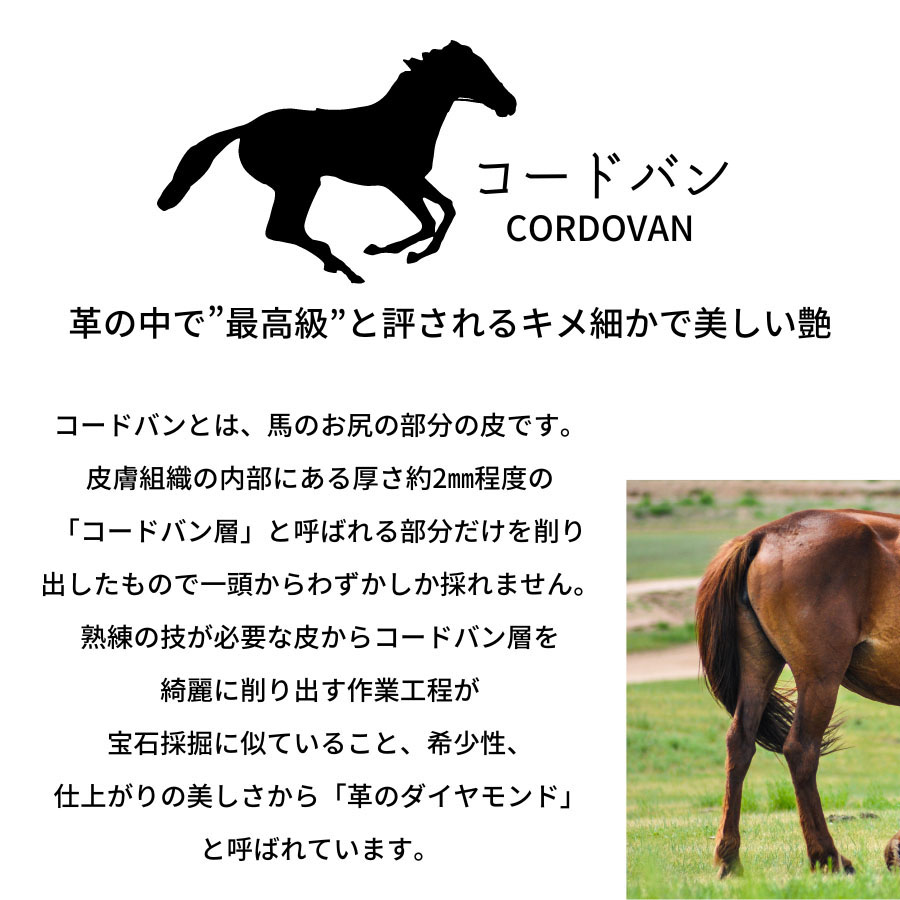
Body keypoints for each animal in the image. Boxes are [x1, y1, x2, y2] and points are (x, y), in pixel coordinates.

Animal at [157, 41, 516, 283]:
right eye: (473, 71)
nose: (509, 103)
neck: (403, 121)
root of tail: (248, 127)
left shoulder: (413, 180)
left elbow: (447, 209)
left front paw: (412, 253)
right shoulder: (399, 181)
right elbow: (429, 220)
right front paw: (392, 251)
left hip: (294, 185)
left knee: (284, 230)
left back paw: (336, 263)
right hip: (300, 183)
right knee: (282, 229)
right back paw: (344, 267)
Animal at [696, 508, 900, 877]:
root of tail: (763, 535)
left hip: (759, 666)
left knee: (740, 743)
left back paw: (729, 858)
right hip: (819, 678)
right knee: (801, 750)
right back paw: (828, 857)